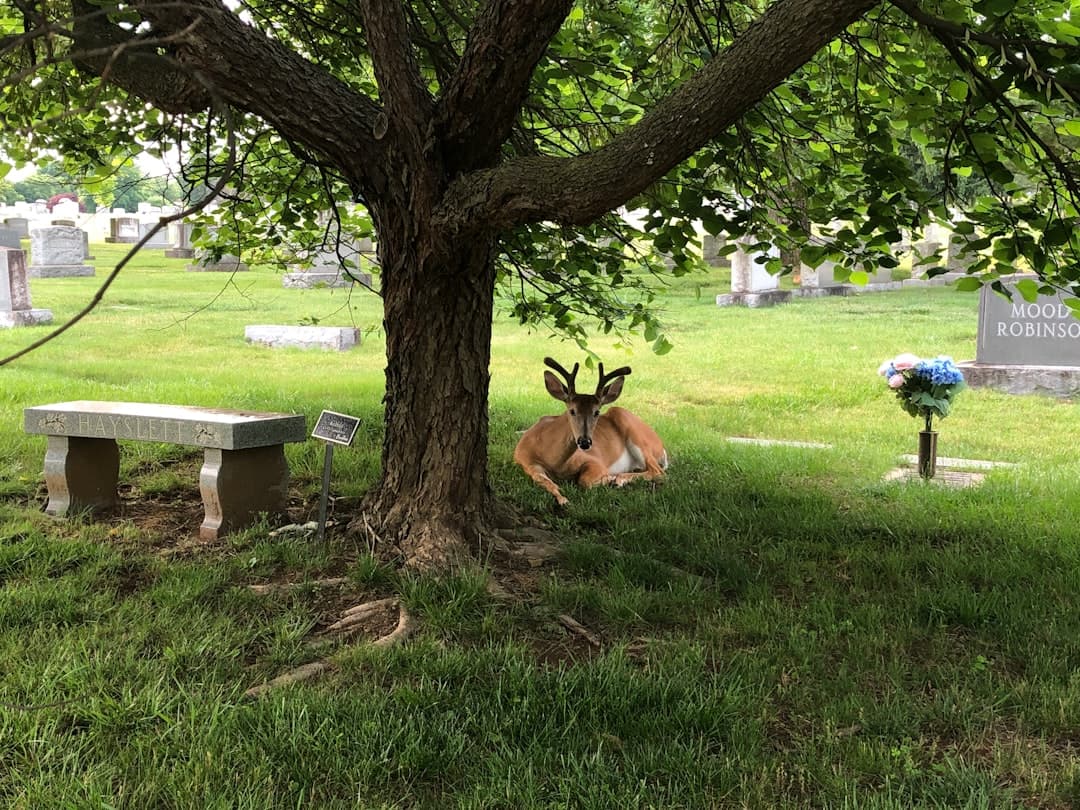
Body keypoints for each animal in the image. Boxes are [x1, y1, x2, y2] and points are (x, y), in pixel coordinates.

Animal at [511, 356, 665, 505]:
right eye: (572, 411)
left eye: (596, 412)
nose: (585, 442)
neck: (555, 463)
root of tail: (661, 447)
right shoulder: (526, 462)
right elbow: (545, 482)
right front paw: (562, 499)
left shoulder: (594, 460)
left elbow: (584, 481)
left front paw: (609, 478)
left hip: (632, 429)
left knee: (658, 471)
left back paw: (619, 479)